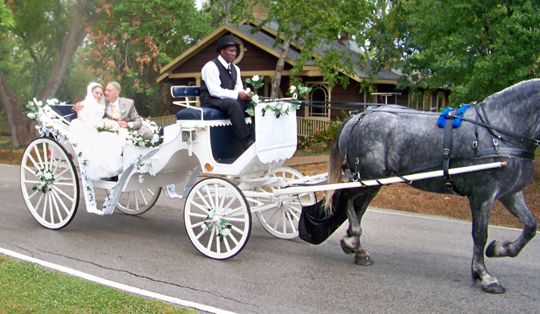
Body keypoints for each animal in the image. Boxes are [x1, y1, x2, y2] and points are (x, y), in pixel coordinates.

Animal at [324, 79, 540, 294]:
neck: (499, 131)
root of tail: (358, 117)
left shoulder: (510, 193)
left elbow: (530, 226)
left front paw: (500, 249)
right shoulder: (482, 193)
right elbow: (480, 234)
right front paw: (485, 275)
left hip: (374, 180)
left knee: (358, 206)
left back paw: (357, 247)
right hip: (368, 177)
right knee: (347, 198)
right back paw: (352, 241)